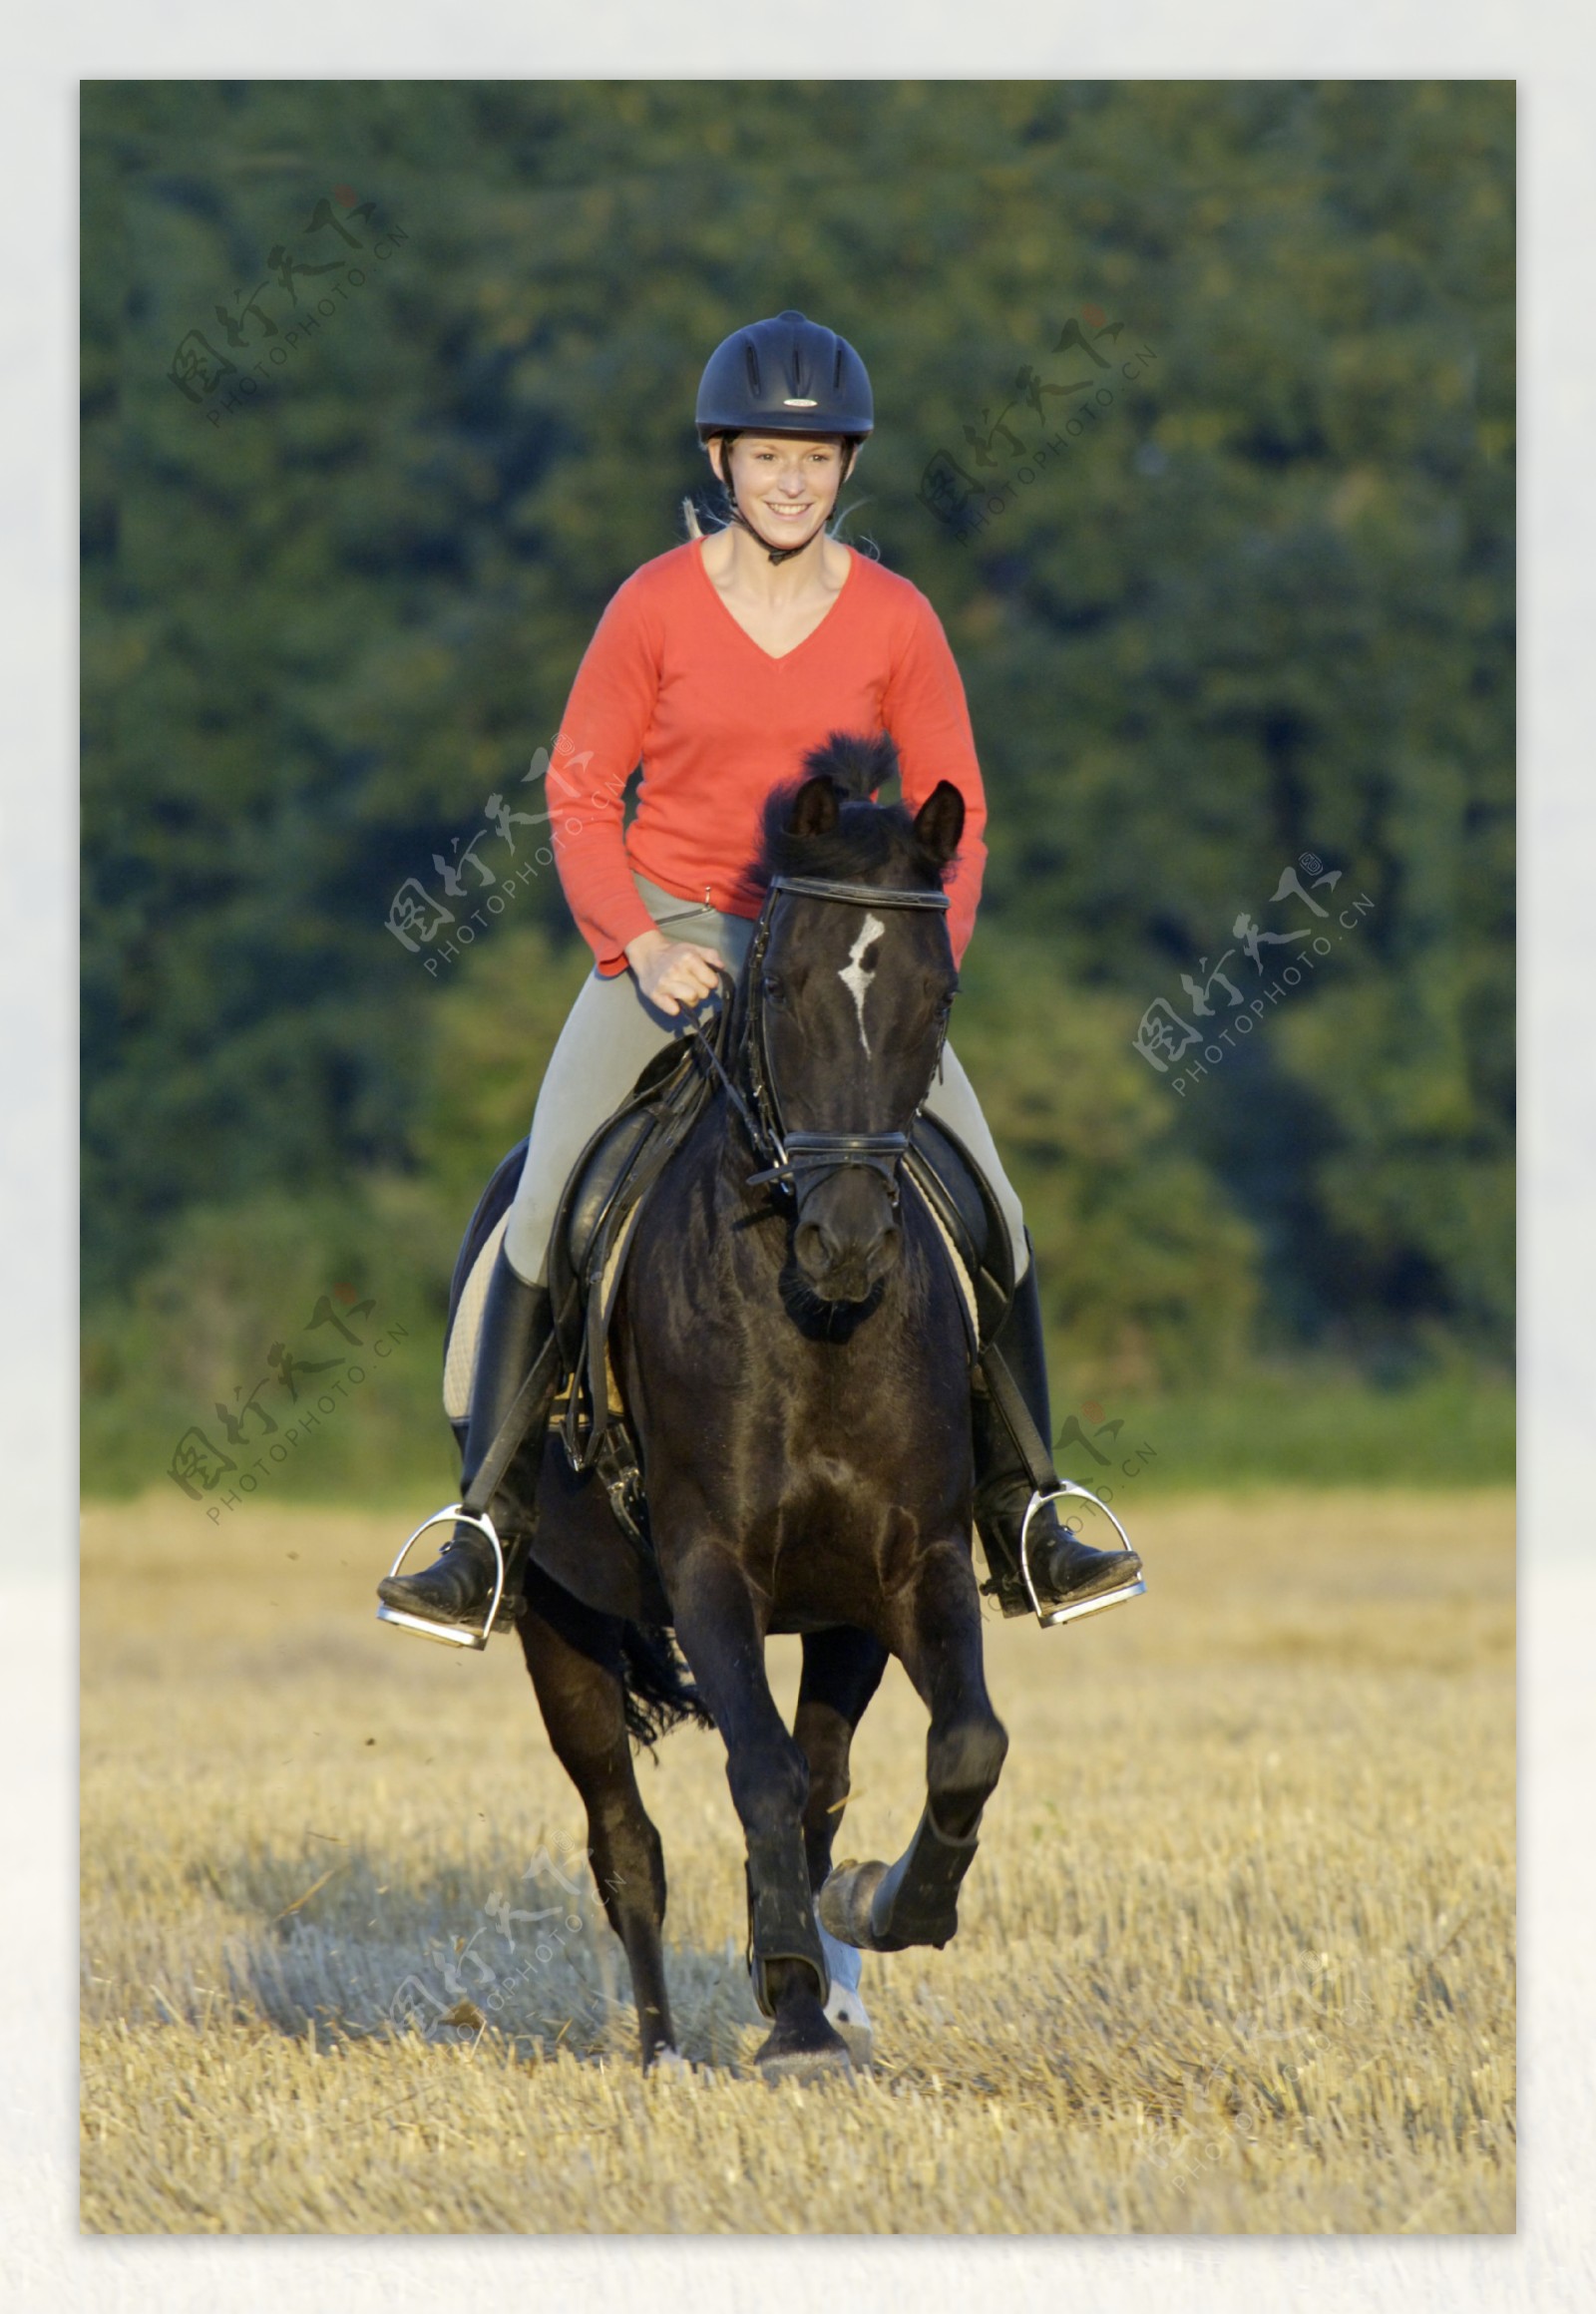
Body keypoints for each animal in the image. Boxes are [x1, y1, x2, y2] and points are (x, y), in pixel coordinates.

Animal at [490, 754, 1008, 2083]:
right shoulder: (704, 1565)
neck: (815, 1327)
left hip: (834, 1618)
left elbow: (957, 1748)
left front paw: (875, 1914)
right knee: (624, 1838)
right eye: (781, 982)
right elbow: (757, 1771)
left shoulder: (908, 1566)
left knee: (822, 1781)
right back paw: (664, 2050)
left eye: (940, 993)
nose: (847, 1240)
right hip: (558, 1617)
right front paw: (792, 2014)